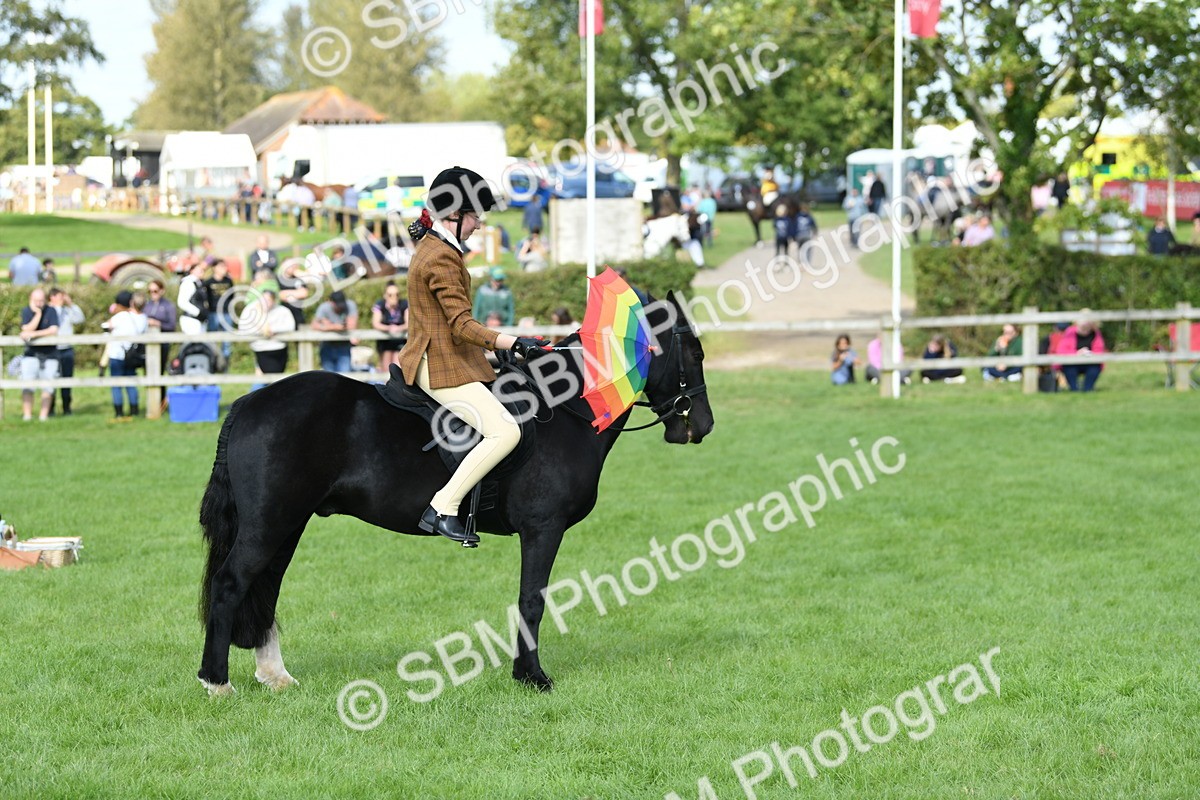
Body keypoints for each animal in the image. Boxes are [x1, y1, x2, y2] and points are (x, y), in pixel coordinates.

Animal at [196, 293, 715, 696]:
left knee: (265, 589)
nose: (703, 425)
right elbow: (532, 599)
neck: (566, 408)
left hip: (286, 526)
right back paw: (216, 681)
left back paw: (275, 676)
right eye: (693, 353)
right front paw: (532, 677)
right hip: (269, 524)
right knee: (231, 585)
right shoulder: (543, 529)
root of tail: (249, 402)